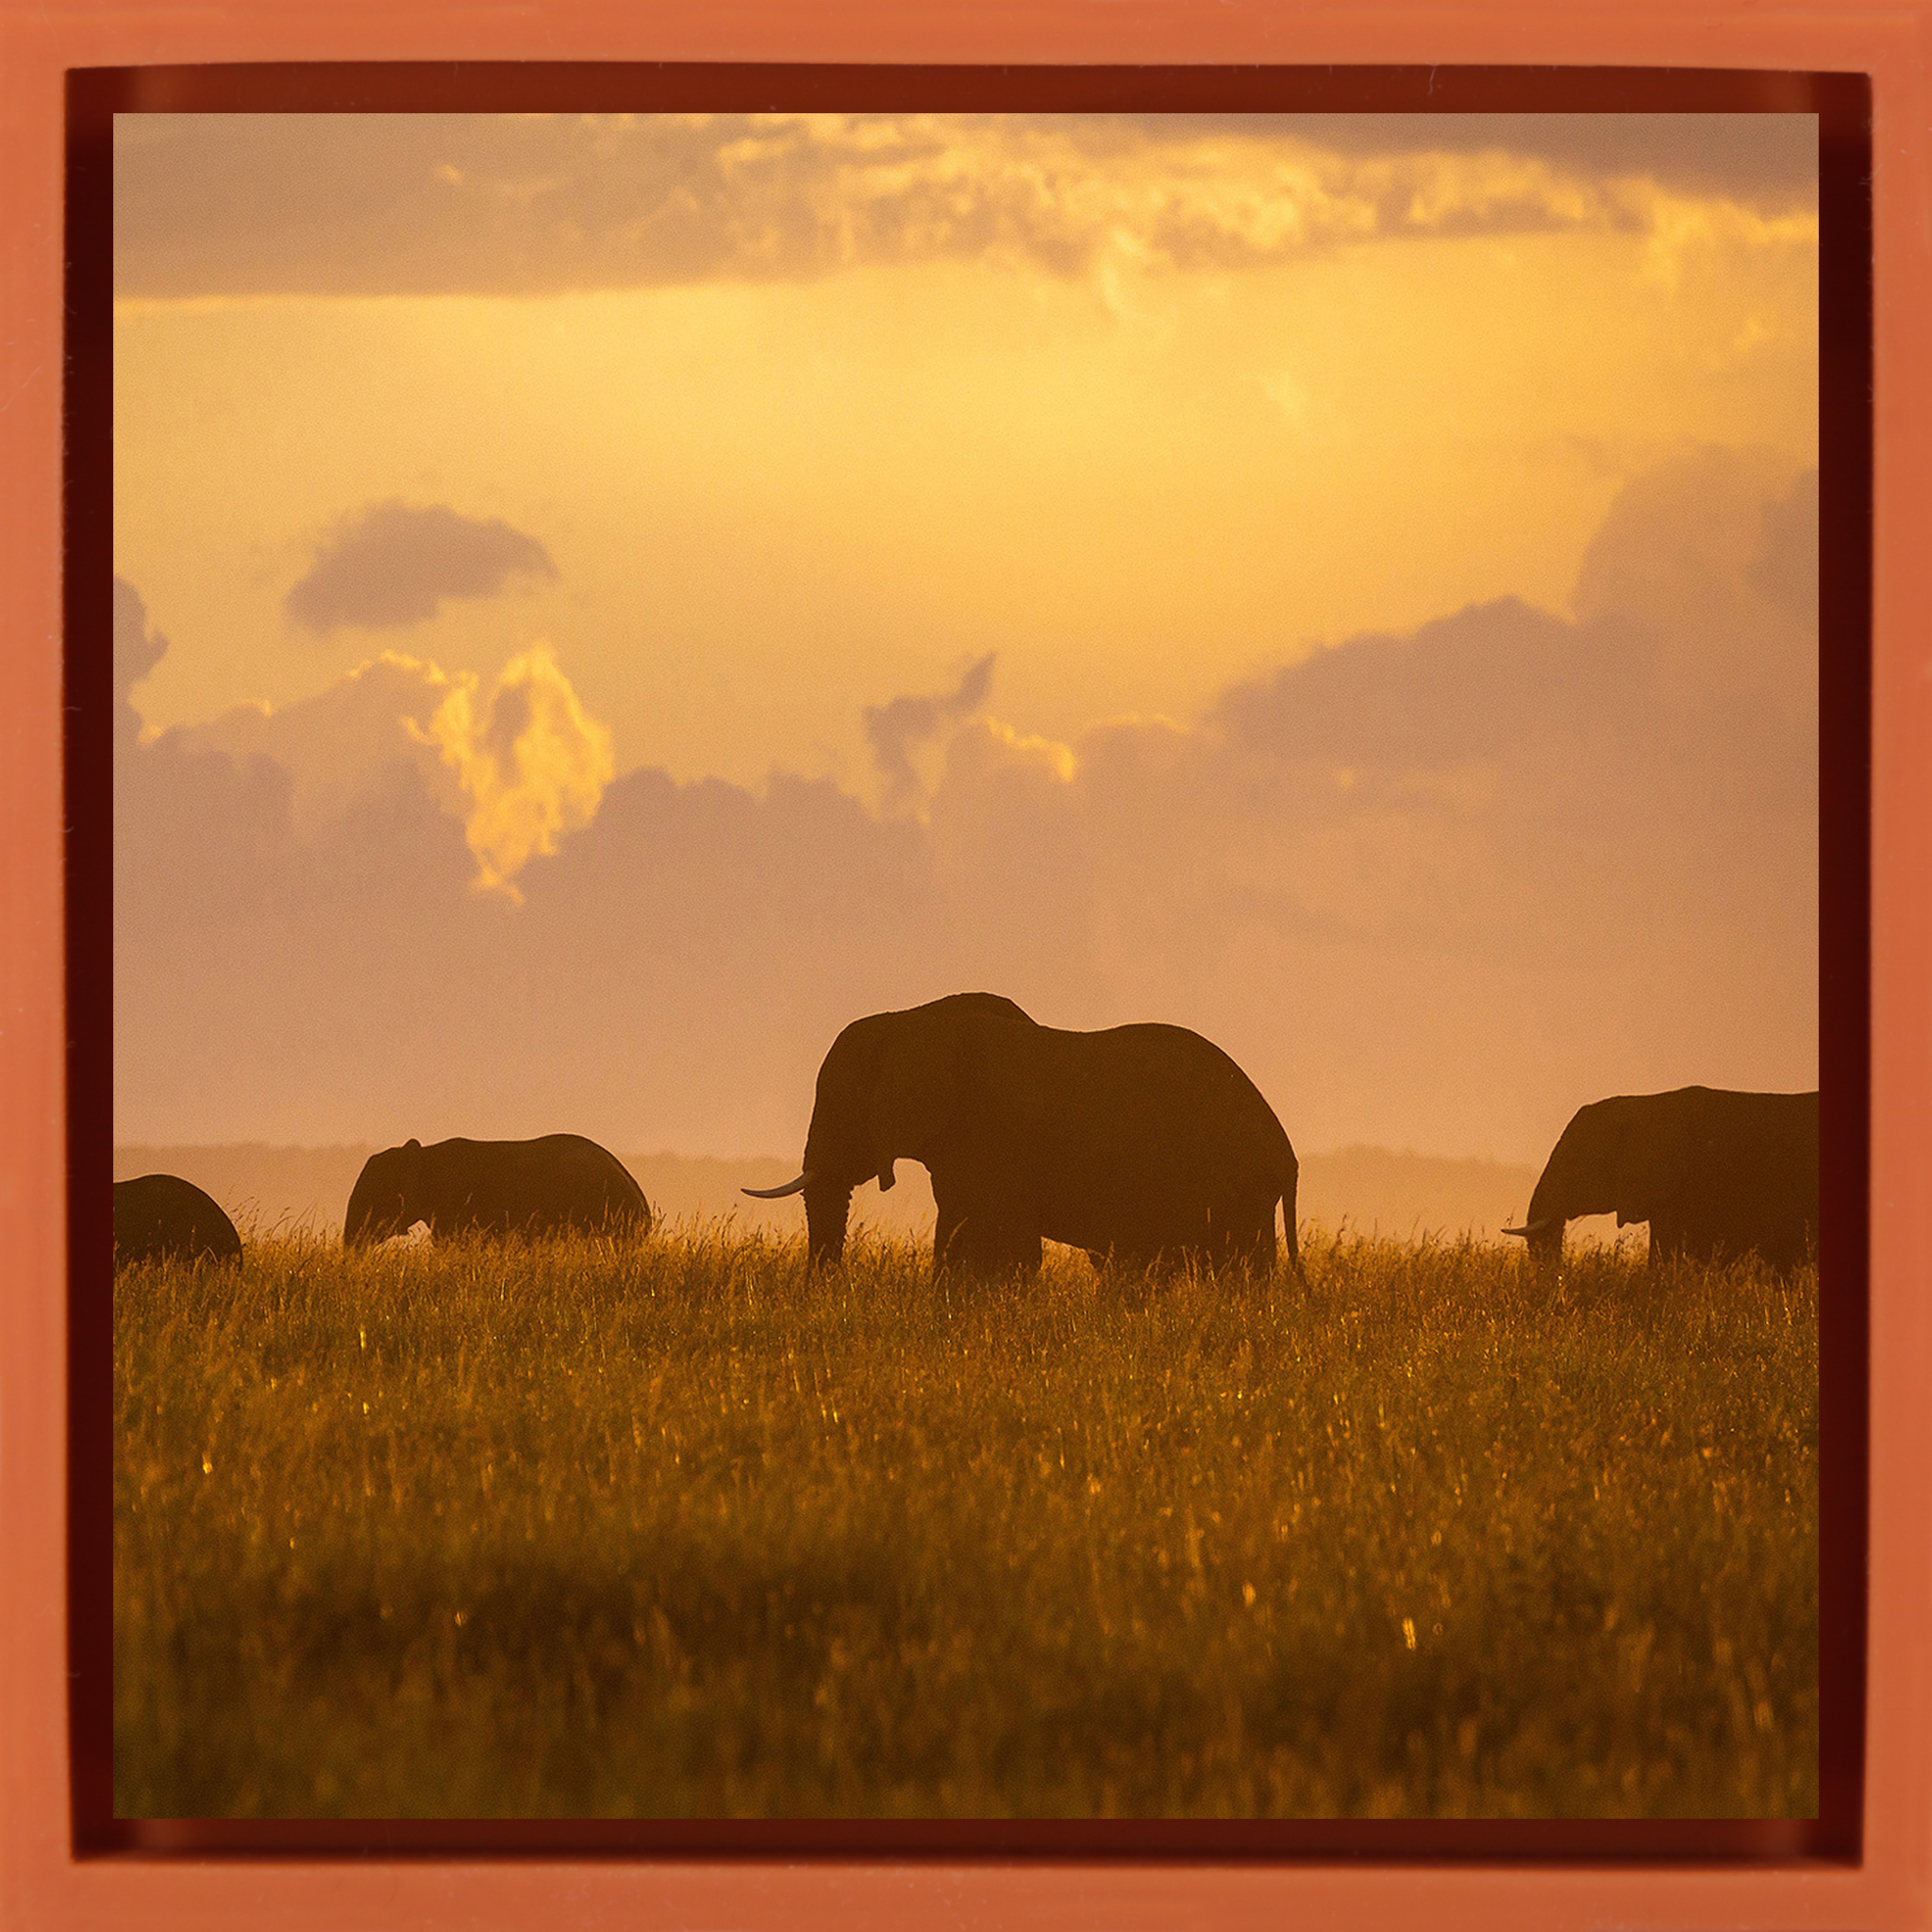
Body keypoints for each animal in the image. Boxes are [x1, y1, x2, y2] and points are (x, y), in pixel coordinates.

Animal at [745, 992, 1304, 1279]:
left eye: (842, 1105)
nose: (828, 1291)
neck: (910, 1019)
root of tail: (1287, 1152)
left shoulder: (988, 1137)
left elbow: (993, 1246)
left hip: (1236, 1187)